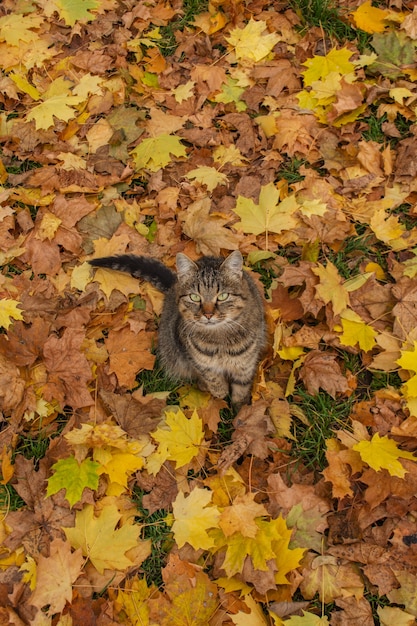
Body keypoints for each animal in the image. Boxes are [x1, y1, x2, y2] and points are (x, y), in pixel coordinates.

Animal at [91, 251, 266, 408]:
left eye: (223, 296)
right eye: (194, 297)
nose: (208, 314)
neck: (219, 339)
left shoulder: (245, 365)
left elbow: (241, 391)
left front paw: (240, 413)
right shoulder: (196, 360)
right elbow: (212, 378)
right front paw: (220, 392)